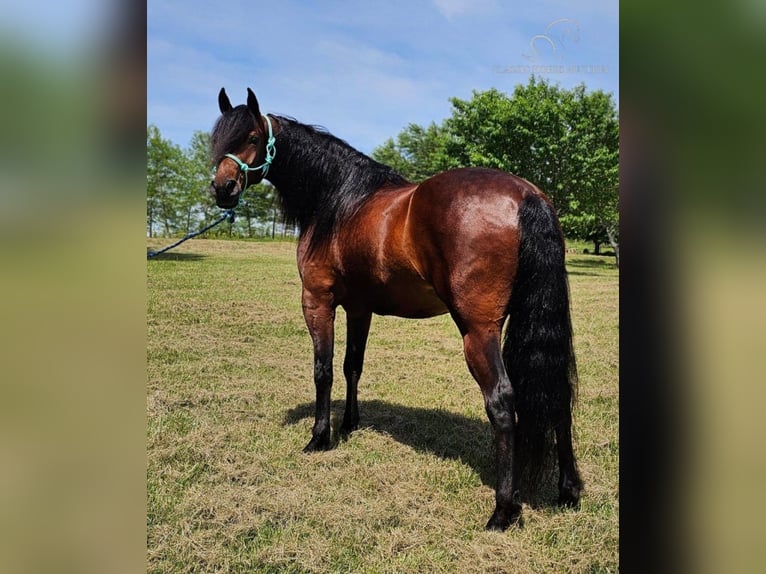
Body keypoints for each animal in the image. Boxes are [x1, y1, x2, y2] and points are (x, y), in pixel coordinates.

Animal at [208, 88, 584, 532]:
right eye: (218, 138)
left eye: (251, 136)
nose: (222, 188)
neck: (337, 201)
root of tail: (527, 195)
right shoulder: (359, 309)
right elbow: (353, 365)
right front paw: (350, 424)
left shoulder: (317, 301)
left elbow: (324, 370)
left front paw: (319, 437)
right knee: (557, 393)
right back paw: (568, 491)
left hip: (478, 331)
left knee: (502, 400)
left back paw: (503, 510)